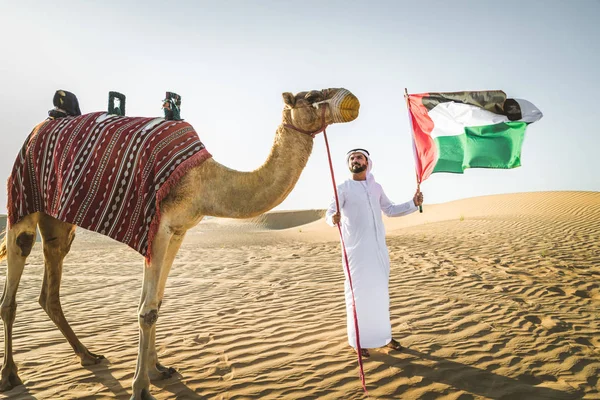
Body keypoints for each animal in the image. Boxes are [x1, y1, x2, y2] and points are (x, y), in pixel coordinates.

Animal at [0, 88, 358, 400]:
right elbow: (147, 310)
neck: (205, 182)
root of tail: (38, 128)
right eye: (311, 96)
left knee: (50, 285)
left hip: (60, 220)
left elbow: (156, 301)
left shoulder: (178, 230)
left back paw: (88, 356)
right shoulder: (157, 227)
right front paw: (141, 389)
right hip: (24, 200)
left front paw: (157, 370)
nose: (350, 99)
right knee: (15, 275)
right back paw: (10, 375)